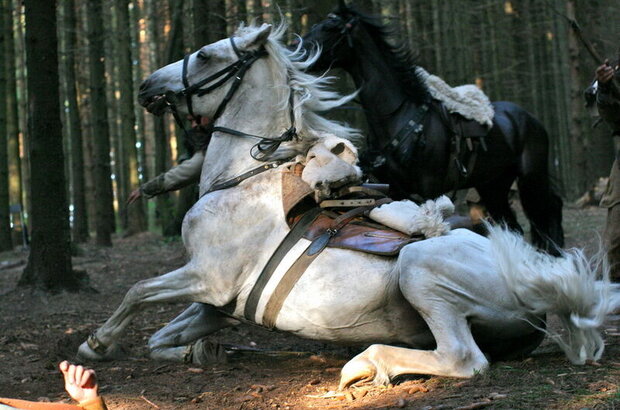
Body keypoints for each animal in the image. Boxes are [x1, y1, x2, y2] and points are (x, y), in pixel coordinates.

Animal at [302, 2, 564, 253]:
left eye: (330, 27)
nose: (299, 50)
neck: (399, 117)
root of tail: (530, 119)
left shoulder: (429, 189)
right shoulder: (395, 191)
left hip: (531, 178)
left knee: (547, 217)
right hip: (493, 186)